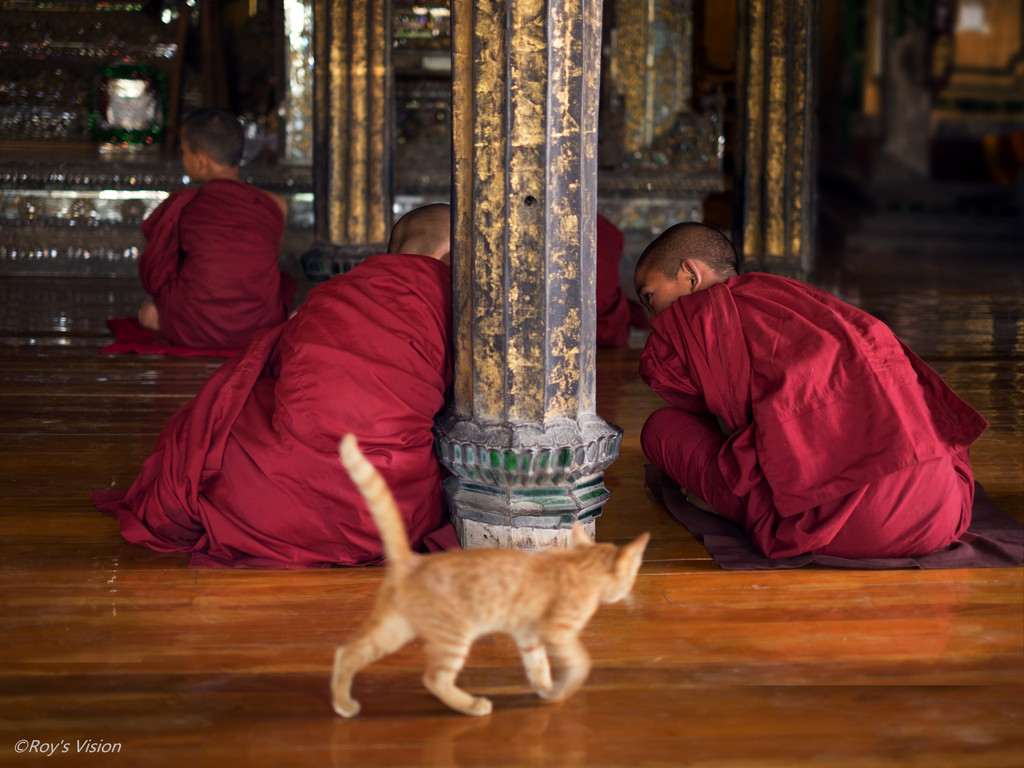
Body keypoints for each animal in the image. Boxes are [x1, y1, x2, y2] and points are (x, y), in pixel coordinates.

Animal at [331, 436, 647, 720]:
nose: (626, 593)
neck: (581, 567)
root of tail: (412, 561)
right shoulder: (556, 631)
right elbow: (581, 662)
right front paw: (564, 689)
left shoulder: (529, 634)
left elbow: (538, 665)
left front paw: (546, 689)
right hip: (454, 634)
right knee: (434, 678)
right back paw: (473, 706)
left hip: (396, 627)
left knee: (347, 652)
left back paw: (343, 704)